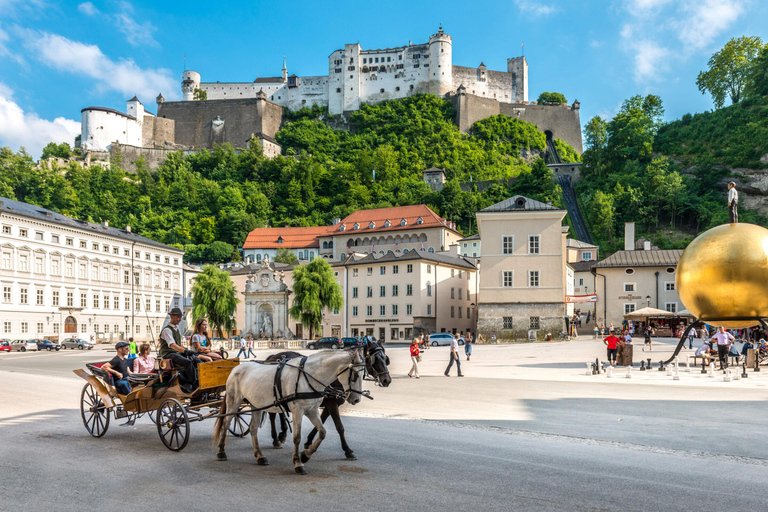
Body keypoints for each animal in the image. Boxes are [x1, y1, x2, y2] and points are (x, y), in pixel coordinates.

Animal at [212, 350, 364, 474]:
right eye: (355, 375)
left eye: (363, 374)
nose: (357, 399)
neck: (309, 376)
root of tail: (235, 368)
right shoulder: (298, 411)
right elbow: (297, 437)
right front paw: (298, 462)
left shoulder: (312, 410)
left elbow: (322, 432)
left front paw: (306, 455)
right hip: (233, 402)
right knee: (226, 424)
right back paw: (221, 452)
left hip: (256, 404)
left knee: (253, 428)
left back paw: (260, 456)